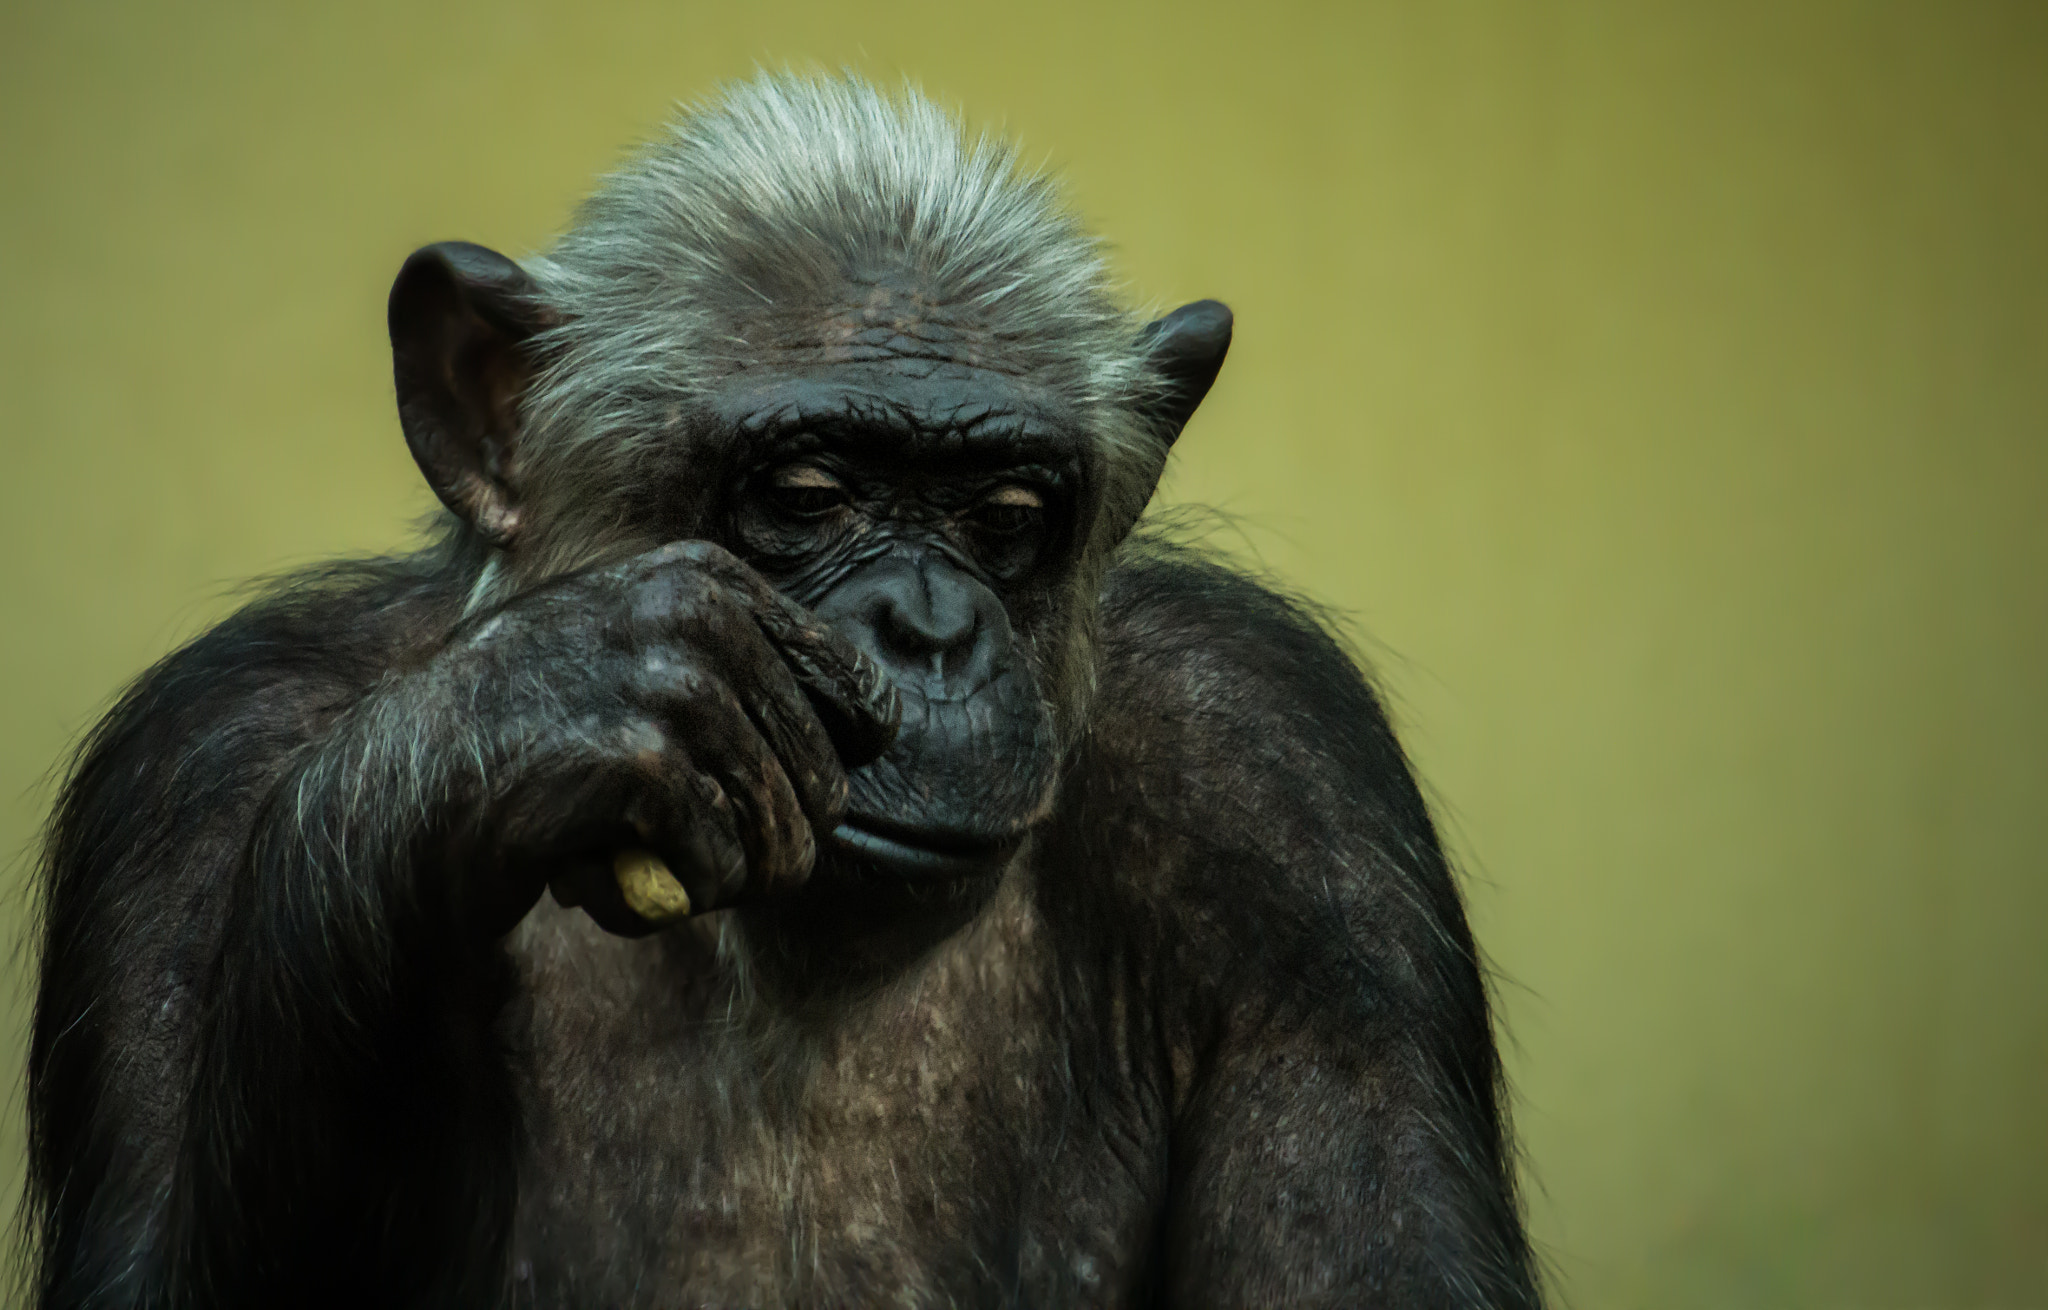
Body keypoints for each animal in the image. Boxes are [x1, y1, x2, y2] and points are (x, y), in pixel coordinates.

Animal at [24, 75, 1540, 1308]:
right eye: (808, 493)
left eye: (1004, 514)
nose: (930, 627)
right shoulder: (197, 777)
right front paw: (532, 711)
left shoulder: (1288, 798)